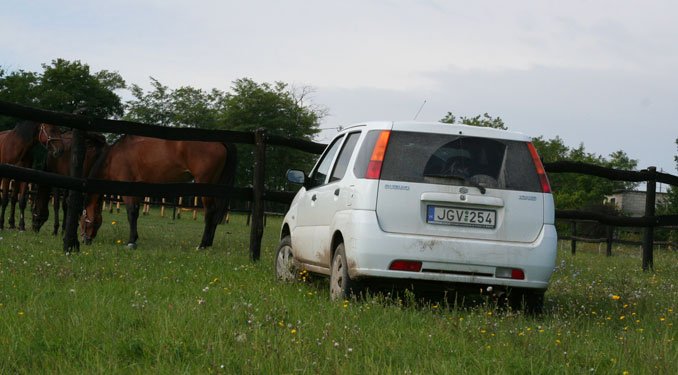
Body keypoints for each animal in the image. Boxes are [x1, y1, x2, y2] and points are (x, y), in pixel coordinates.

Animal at [82, 135, 238, 250]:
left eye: (83, 220)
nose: (85, 240)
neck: (114, 157)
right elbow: (135, 214)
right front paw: (134, 238)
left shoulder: (128, 192)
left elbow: (131, 214)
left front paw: (131, 242)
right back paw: (208, 243)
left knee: (210, 212)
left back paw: (202, 245)